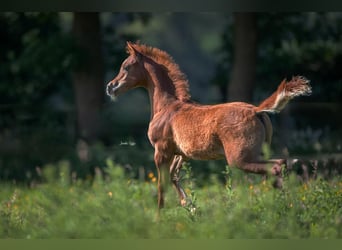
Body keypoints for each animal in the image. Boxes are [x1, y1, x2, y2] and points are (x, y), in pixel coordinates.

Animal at [107, 42, 312, 210]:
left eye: (126, 67)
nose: (110, 86)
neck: (166, 107)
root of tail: (256, 110)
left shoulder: (161, 151)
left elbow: (161, 187)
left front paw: (160, 219)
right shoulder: (182, 154)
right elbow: (174, 176)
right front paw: (189, 205)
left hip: (239, 158)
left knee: (275, 167)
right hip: (258, 152)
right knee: (280, 164)